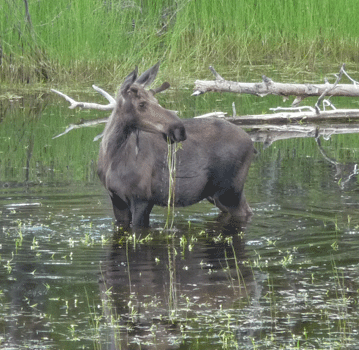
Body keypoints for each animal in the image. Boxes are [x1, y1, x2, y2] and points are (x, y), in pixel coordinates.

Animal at [53, 63, 256, 228]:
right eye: (142, 104)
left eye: (156, 100)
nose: (179, 129)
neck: (111, 156)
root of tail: (252, 144)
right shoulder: (116, 199)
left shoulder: (142, 199)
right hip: (217, 195)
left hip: (230, 191)